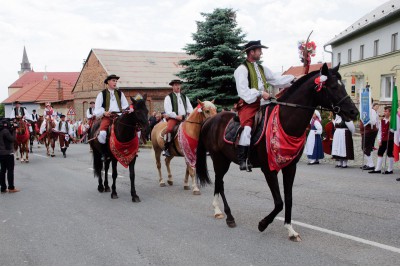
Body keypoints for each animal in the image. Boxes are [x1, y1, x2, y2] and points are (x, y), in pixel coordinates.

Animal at [196, 64, 360, 243]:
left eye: (343, 86)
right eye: (333, 87)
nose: (354, 112)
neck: (284, 121)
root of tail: (210, 120)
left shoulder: (290, 167)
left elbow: (288, 198)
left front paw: (290, 229)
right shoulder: (269, 169)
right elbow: (279, 202)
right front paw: (263, 224)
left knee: (219, 183)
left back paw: (220, 211)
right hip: (219, 159)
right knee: (220, 182)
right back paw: (226, 215)